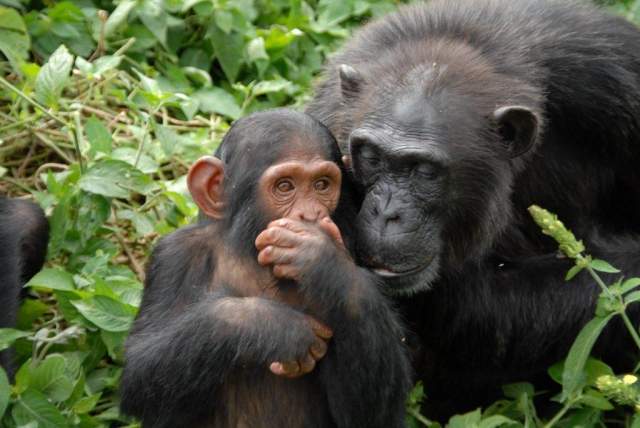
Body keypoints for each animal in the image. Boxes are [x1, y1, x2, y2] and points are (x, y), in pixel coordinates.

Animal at [119, 108, 410, 426]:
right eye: (285, 186)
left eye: (322, 185)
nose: (311, 214)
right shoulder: (172, 257)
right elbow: (140, 368)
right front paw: (272, 326)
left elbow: (372, 413)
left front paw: (320, 258)